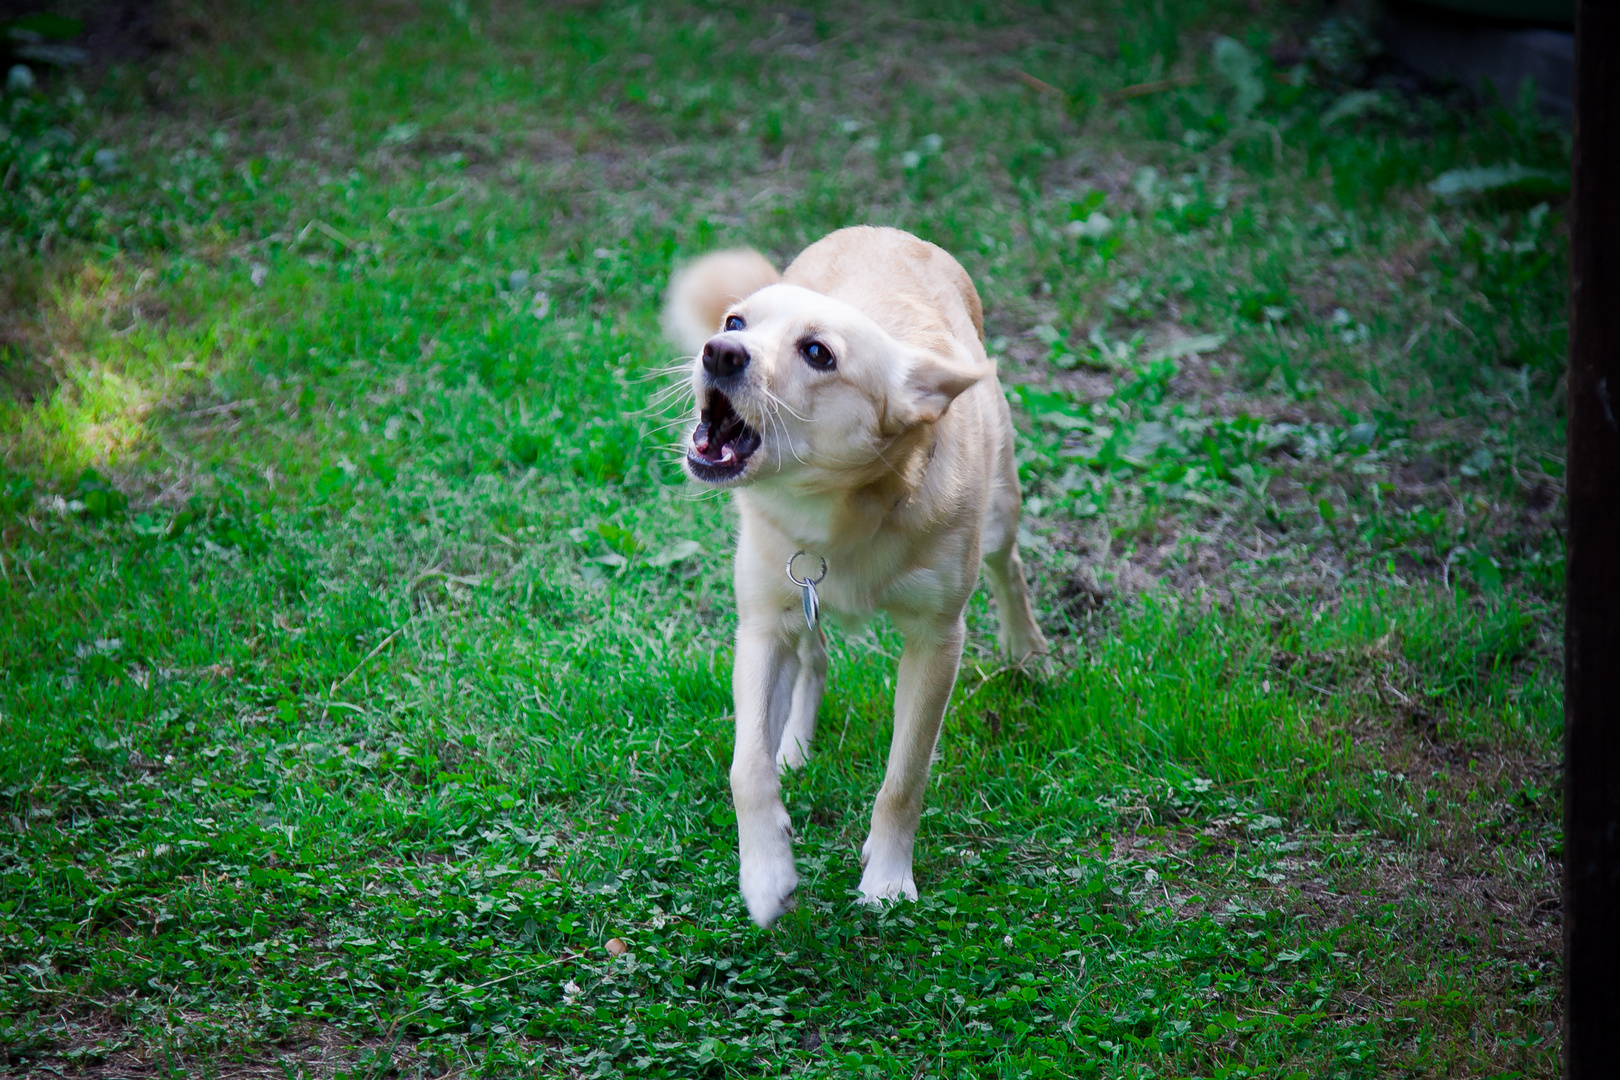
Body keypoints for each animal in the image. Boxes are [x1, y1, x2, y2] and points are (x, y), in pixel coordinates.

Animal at [660, 228, 1049, 932]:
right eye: (735, 323)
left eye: (818, 353)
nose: (719, 352)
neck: (832, 514)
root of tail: (882, 231)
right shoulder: (762, 625)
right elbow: (745, 768)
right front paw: (766, 874)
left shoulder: (936, 642)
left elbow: (904, 778)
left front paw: (887, 880)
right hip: (795, 606)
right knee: (812, 660)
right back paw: (794, 743)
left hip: (1002, 507)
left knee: (1009, 568)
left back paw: (1027, 650)